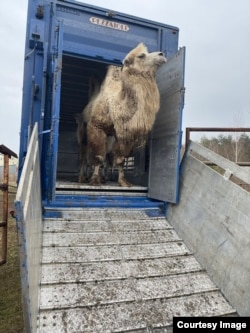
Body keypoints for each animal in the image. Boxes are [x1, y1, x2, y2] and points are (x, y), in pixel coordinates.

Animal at [87, 42, 167, 185]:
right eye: (141, 56)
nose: (161, 54)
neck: (116, 105)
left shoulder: (126, 133)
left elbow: (120, 159)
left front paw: (123, 181)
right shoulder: (96, 126)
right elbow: (99, 156)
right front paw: (95, 179)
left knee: (108, 157)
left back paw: (105, 177)